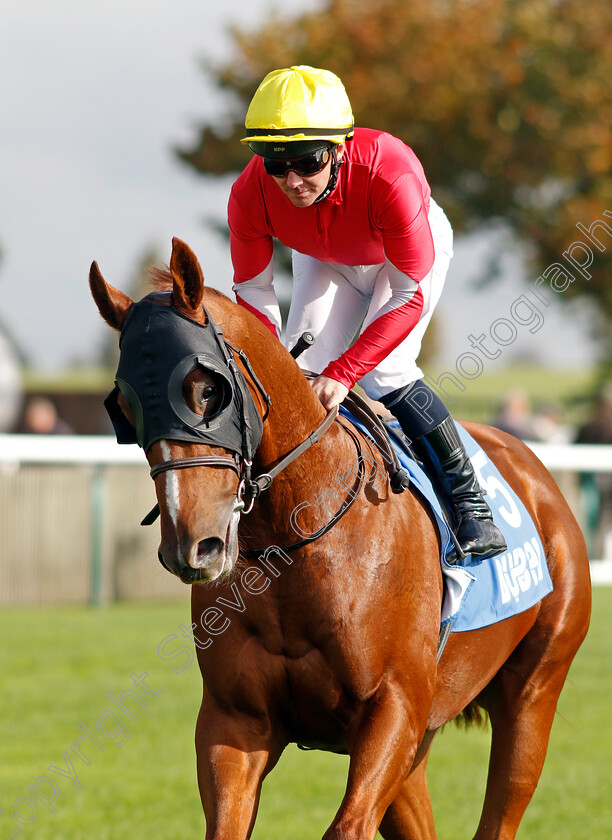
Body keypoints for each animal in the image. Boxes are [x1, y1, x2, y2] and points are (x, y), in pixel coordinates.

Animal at [88, 238, 592, 840]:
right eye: (126, 406)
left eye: (207, 390)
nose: (194, 545)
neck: (295, 539)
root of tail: (537, 473)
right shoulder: (235, 722)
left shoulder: (393, 710)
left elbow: (347, 827)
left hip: (532, 696)